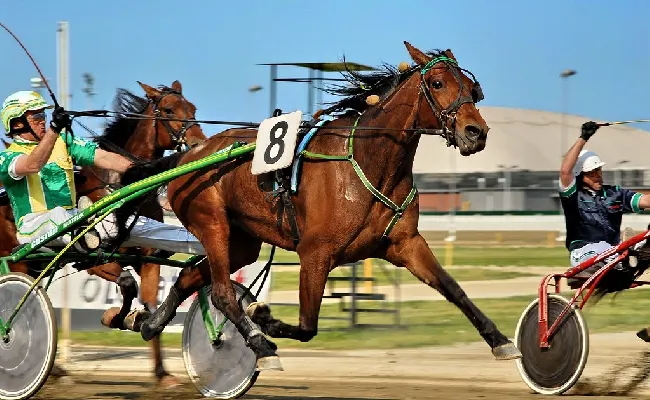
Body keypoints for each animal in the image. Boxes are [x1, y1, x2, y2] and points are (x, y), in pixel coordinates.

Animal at [121, 42, 522, 370]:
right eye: (437, 84)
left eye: (471, 88)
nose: (476, 132)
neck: (369, 160)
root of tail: (190, 155)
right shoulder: (316, 252)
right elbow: (307, 325)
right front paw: (264, 317)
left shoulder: (406, 243)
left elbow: (454, 289)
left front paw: (500, 341)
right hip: (213, 223)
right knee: (221, 293)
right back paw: (258, 342)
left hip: (242, 241)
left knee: (191, 276)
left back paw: (150, 322)